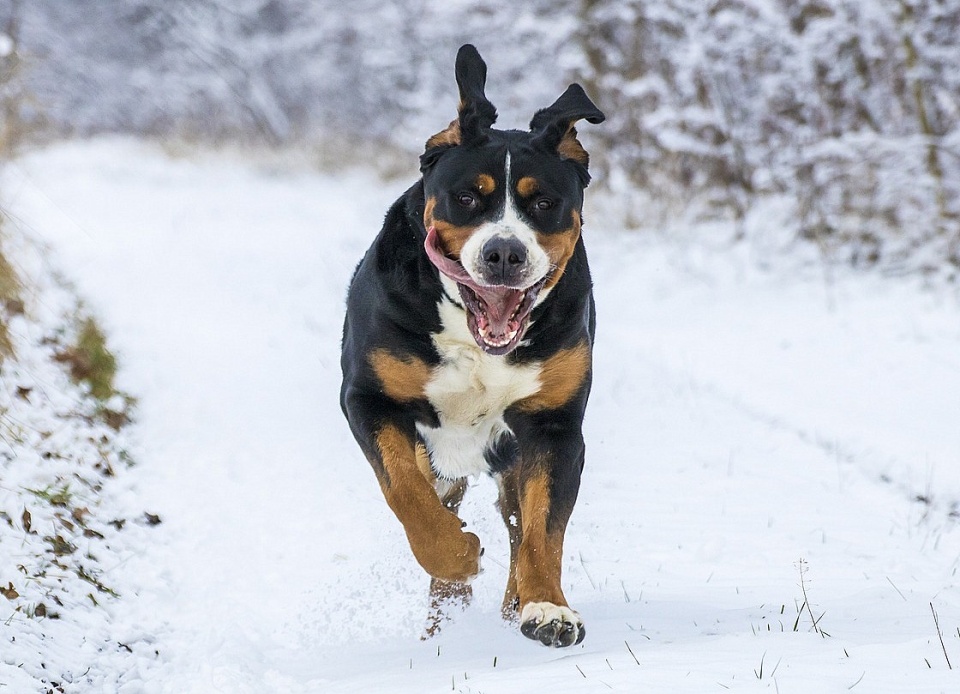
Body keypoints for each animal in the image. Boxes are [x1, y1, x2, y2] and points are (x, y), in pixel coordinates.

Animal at [342, 43, 604, 648]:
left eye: (544, 203)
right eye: (466, 198)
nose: (504, 253)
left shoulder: (554, 426)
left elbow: (543, 529)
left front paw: (547, 608)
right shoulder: (370, 399)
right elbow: (407, 493)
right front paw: (457, 554)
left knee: (516, 522)